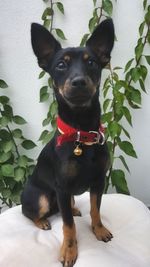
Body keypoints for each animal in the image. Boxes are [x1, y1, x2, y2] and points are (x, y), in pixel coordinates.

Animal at [21, 19, 114, 267]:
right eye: (61, 65)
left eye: (92, 62)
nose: (79, 81)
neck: (81, 133)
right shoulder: (62, 188)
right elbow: (68, 227)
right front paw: (69, 251)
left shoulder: (98, 182)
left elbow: (95, 210)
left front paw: (99, 230)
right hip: (43, 198)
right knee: (29, 212)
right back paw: (42, 221)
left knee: (67, 208)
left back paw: (73, 209)